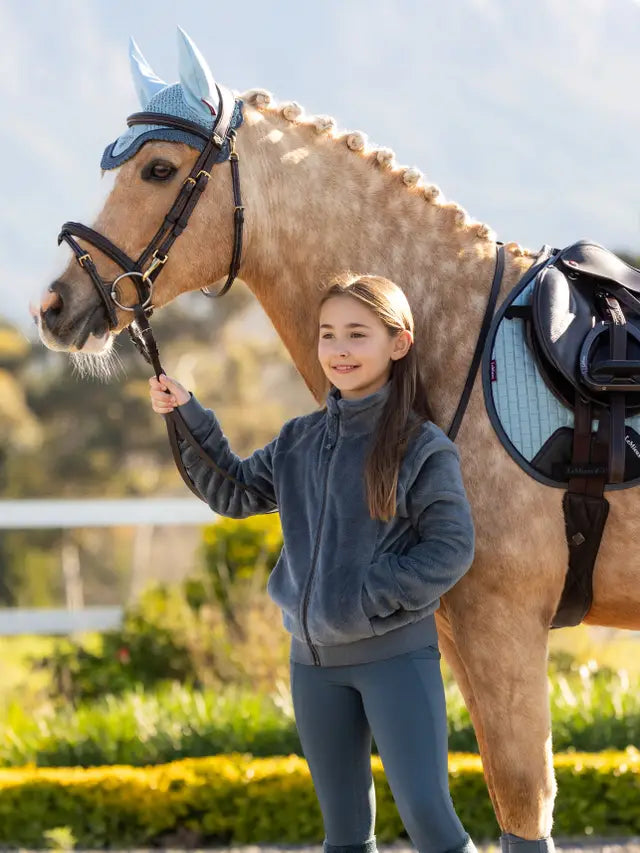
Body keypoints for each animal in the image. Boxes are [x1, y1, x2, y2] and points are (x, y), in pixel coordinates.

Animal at [33, 28, 640, 853]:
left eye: (158, 168)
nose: (55, 306)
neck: (457, 338)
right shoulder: (463, 634)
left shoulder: (505, 627)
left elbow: (522, 803)